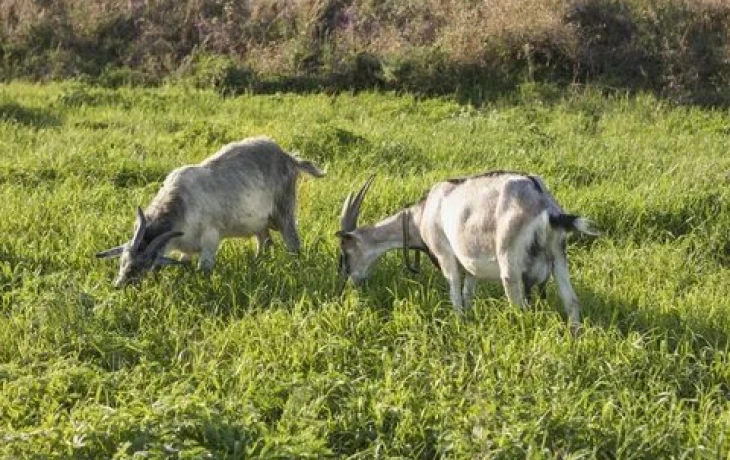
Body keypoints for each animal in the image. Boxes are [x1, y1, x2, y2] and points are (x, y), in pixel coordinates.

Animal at [95, 137, 322, 288]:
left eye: (143, 266)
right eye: (123, 261)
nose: (119, 285)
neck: (181, 203)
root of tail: (289, 158)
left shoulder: (211, 238)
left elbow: (203, 269)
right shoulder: (186, 247)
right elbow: (186, 263)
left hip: (284, 210)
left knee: (292, 242)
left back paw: (293, 265)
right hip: (259, 222)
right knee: (265, 241)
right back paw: (257, 263)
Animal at [336, 171, 596, 328]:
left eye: (345, 252)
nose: (348, 284)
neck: (422, 215)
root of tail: (545, 206)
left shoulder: (447, 257)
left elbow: (455, 295)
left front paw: (459, 323)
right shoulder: (470, 266)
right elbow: (468, 293)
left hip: (510, 263)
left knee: (520, 308)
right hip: (559, 255)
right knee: (571, 302)